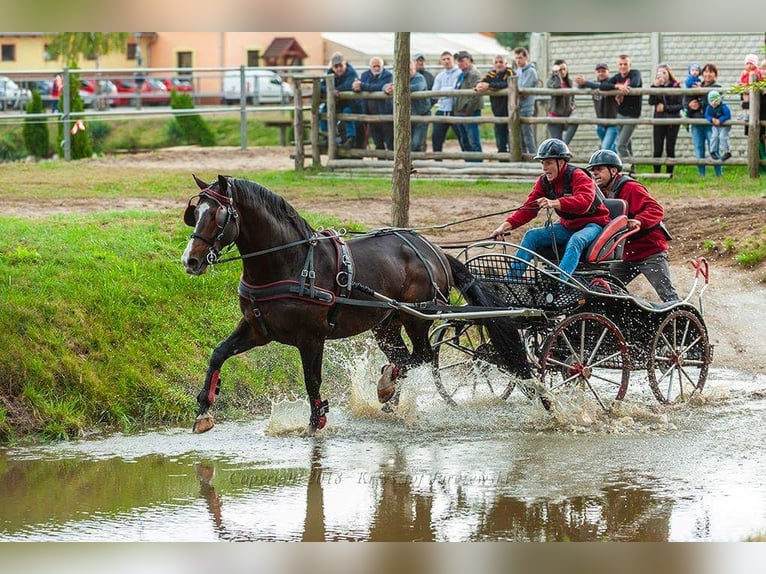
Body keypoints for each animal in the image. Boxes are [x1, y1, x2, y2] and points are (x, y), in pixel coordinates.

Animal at [182, 177, 532, 436]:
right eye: (195, 213)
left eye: (219, 215)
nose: (190, 260)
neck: (290, 261)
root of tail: (433, 249)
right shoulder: (257, 329)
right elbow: (218, 354)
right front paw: (203, 410)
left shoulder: (311, 338)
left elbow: (312, 380)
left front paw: (316, 422)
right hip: (387, 324)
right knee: (404, 357)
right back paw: (390, 396)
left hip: (417, 316)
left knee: (421, 356)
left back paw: (387, 386)